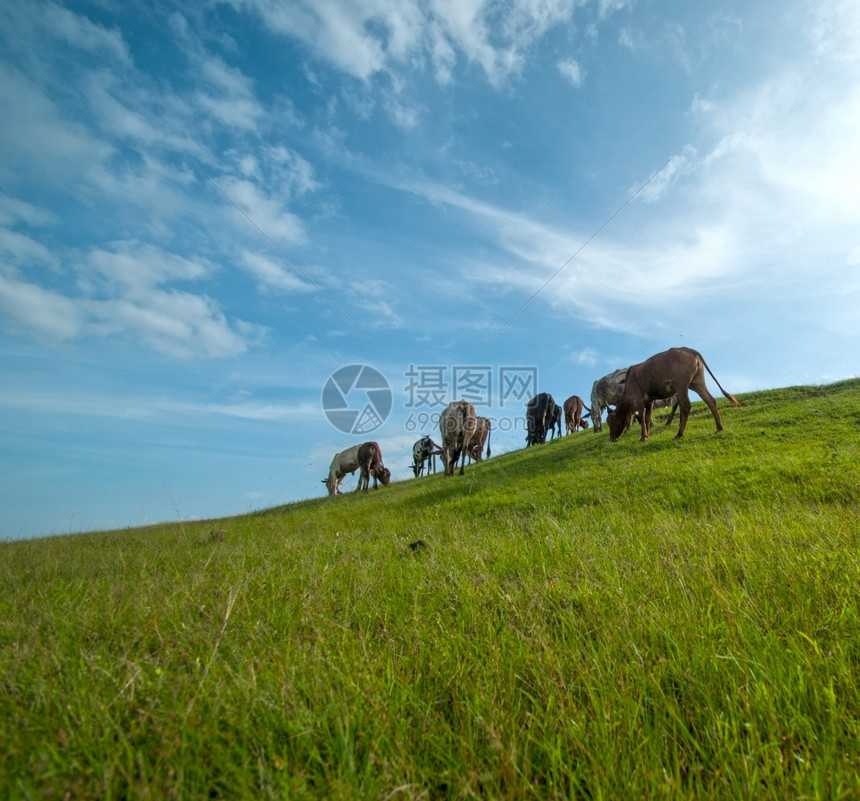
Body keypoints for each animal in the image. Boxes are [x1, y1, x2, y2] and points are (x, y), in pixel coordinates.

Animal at [608, 346, 744, 440]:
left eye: (610, 421)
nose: (611, 439)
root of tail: (685, 348)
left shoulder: (639, 400)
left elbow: (642, 417)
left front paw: (643, 437)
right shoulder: (649, 401)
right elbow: (647, 418)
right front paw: (647, 436)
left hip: (681, 385)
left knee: (686, 405)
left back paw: (679, 434)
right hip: (697, 383)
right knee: (710, 400)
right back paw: (719, 428)